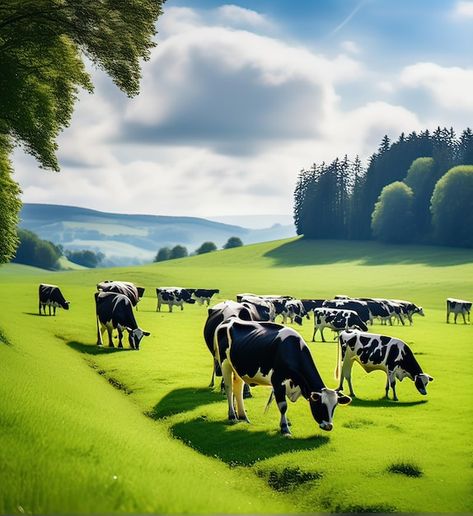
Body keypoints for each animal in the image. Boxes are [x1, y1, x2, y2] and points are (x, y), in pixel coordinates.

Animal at [214, 320, 350, 438]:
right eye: (320, 405)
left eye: (334, 406)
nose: (328, 426)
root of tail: (228, 321)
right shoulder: (277, 381)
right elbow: (283, 405)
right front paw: (285, 428)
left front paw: (286, 422)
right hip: (225, 363)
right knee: (229, 388)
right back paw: (232, 416)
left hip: (238, 368)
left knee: (238, 389)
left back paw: (243, 416)